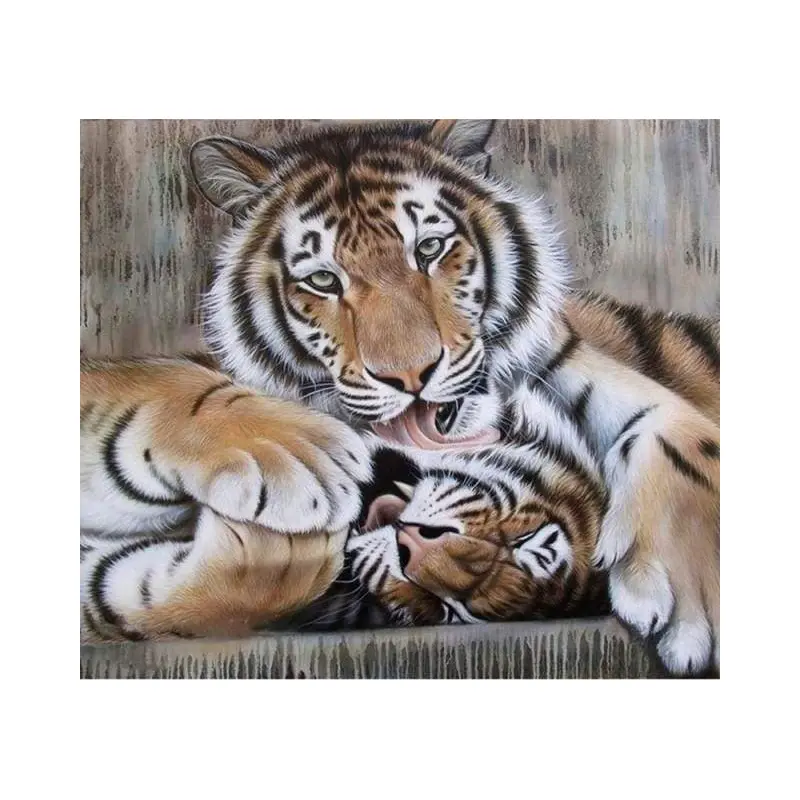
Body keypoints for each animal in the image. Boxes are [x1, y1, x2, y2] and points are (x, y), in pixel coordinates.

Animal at [80, 119, 719, 676]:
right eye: (323, 280)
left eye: (430, 249)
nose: (411, 376)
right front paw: (300, 461)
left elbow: (675, 429)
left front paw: (692, 597)